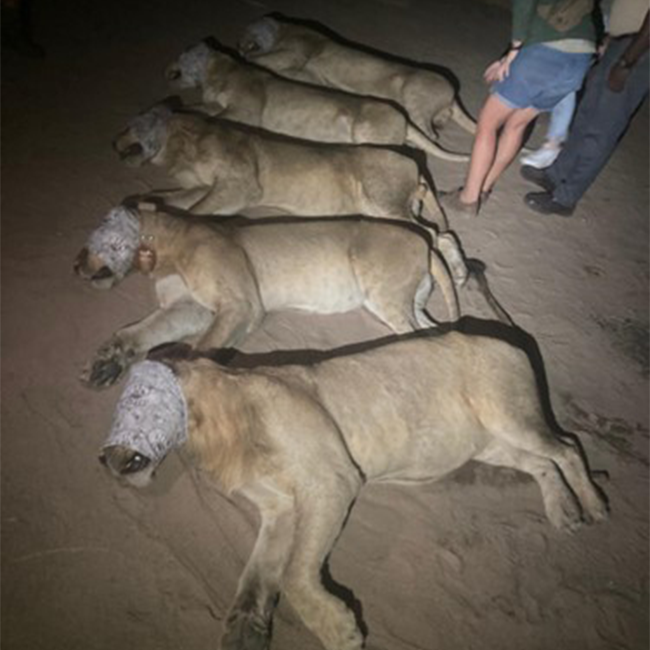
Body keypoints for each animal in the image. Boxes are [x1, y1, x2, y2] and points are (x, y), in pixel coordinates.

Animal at [73, 202, 460, 384]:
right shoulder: (192, 307)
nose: (74, 265)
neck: (164, 251)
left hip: (384, 295)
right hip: (408, 303)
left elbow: (201, 349)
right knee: (432, 329)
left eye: (91, 241)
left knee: (416, 336)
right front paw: (106, 362)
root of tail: (425, 244)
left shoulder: (241, 304)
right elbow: (143, 329)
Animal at [100, 332, 608, 648]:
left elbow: (294, 574)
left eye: (135, 400)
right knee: (543, 463)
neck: (212, 432)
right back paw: (563, 510)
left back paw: (593, 504)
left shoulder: (333, 478)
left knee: (567, 447)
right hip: (492, 444)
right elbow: (257, 575)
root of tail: (511, 340)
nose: (104, 460)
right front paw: (243, 633)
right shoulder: (278, 508)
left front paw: (339, 632)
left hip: (509, 415)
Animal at [111, 100, 448, 232]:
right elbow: (169, 198)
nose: (112, 143)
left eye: (130, 126)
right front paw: (138, 204)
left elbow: (195, 211)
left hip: (384, 203)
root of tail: (411, 164)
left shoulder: (242, 187)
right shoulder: (201, 187)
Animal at [162, 40, 466, 162]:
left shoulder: (246, 112)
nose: (169, 72)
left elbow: (212, 117)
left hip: (370, 131)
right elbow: (196, 108)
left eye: (183, 59)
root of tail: (402, 119)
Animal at [238, 15, 476, 139]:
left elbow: (267, 60)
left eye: (248, 33)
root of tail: (453, 91)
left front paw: (247, 58)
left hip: (414, 93)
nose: (240, 45)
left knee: (428, 133)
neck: (285, 29)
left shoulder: (296, 50)